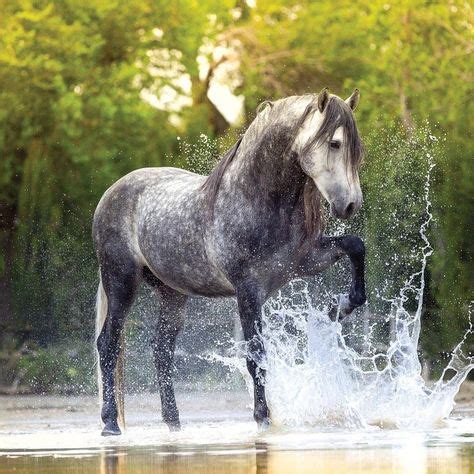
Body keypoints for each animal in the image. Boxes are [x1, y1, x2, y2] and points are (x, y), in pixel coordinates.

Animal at [92, 87, 366, 436]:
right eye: (334, 143)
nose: (350, 205)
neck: (255, 199)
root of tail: (112, 192)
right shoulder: (248, 290)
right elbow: (256, 355)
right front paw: (263, 418)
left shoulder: (304, 262)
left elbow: (355, 245)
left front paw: (342, 306)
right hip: (121, 281)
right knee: (108, 345)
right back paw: (110, 423)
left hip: (172, 293)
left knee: (162, 350)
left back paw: (173, 421)